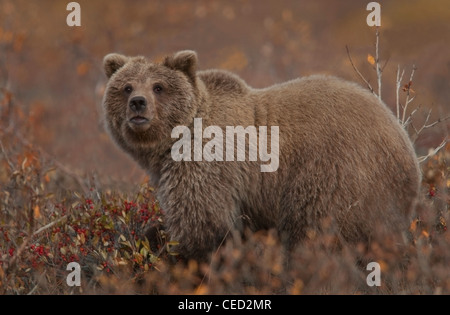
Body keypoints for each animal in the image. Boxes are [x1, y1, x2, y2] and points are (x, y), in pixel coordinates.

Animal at [102, 50, 422, 262]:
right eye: (126, 86)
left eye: (159, 87)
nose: (138, 103)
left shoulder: (206, 163)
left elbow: (203, 223)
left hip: (333, 176)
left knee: (313, 231)